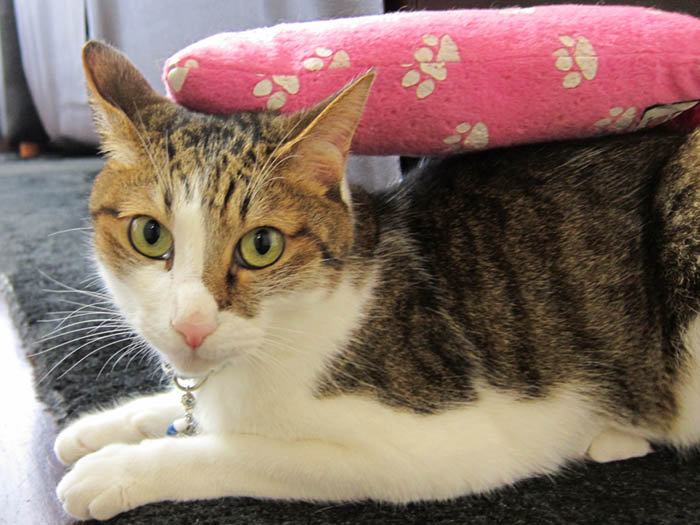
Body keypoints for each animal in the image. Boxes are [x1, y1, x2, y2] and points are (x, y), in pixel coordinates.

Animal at [55, 40, 700, 520]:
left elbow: (244, 449)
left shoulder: (439, 446)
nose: (190, 324)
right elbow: (183, 409)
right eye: (150, 235)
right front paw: (97, 428)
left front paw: (115, 468)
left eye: (261, 246)